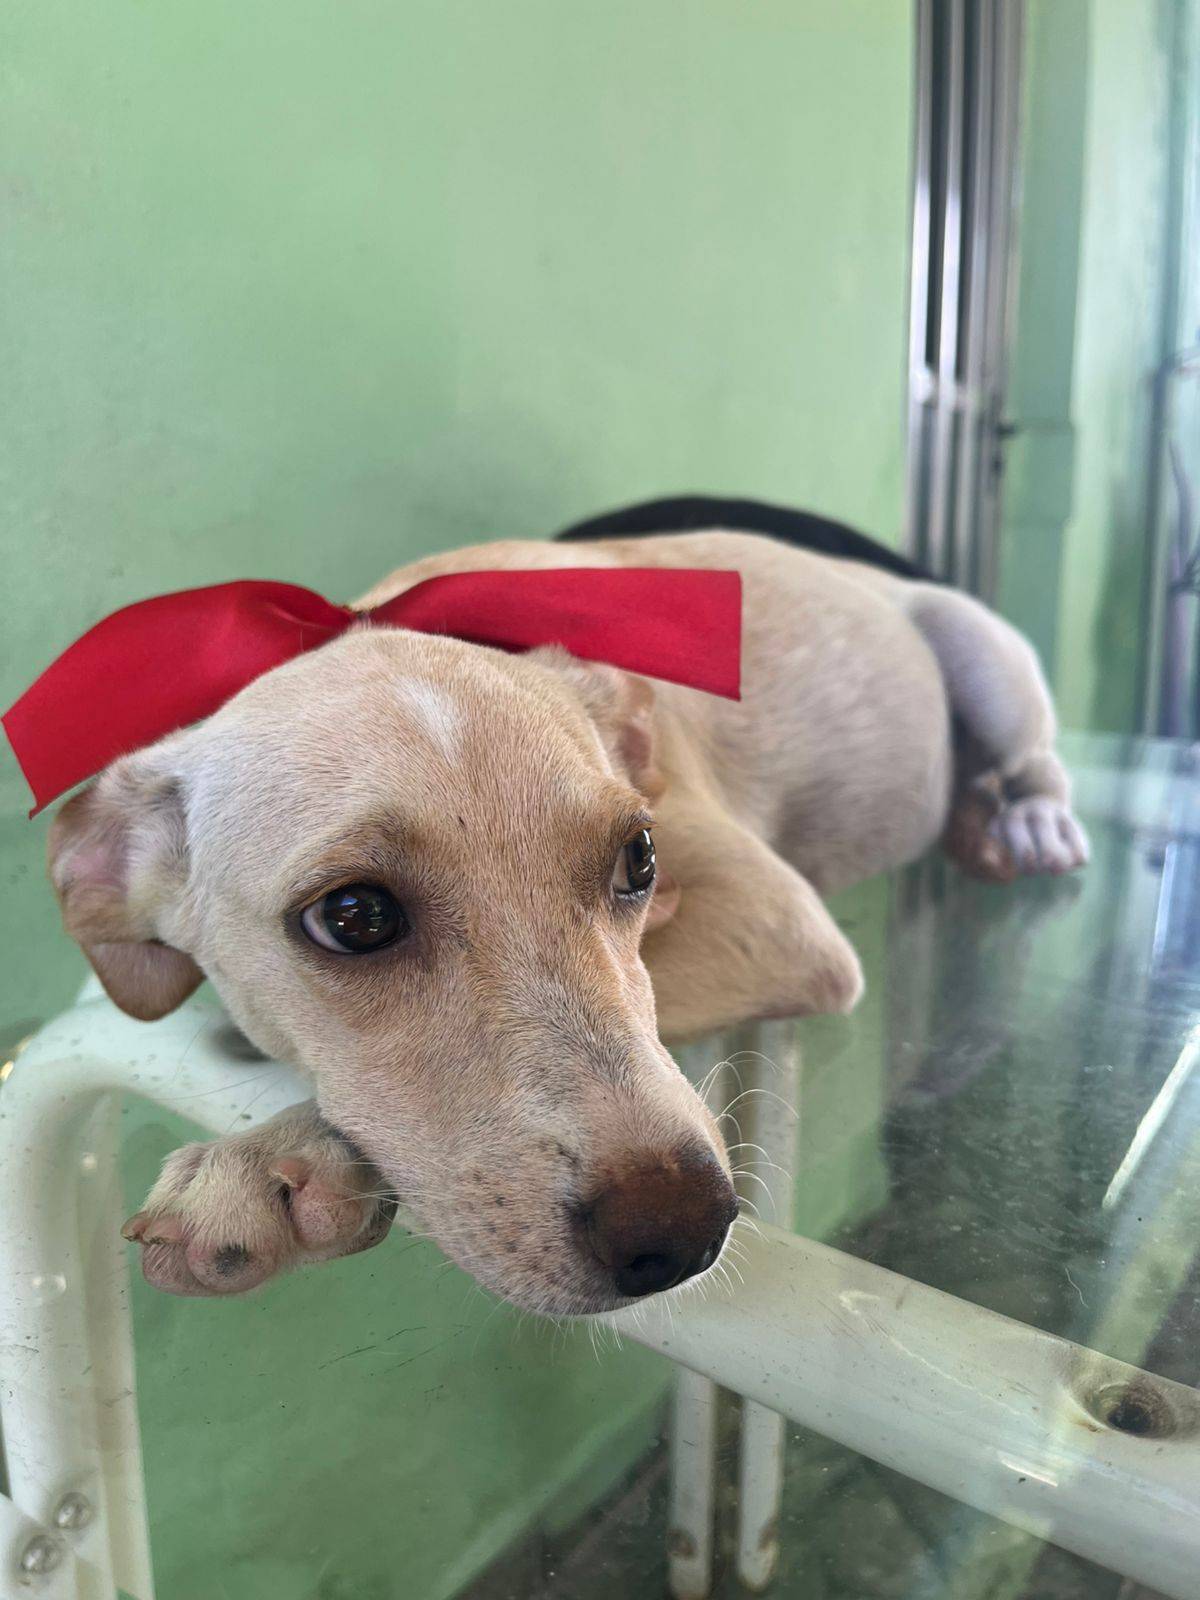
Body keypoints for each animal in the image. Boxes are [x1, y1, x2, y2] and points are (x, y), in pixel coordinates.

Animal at [45, 499, 1087, 1315]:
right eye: (353, 916)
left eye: (639, 858)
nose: (683, 1233)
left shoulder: (779, 919)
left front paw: (268, 1157)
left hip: (985, 656)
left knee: (1035, 757)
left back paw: (1025, 821)